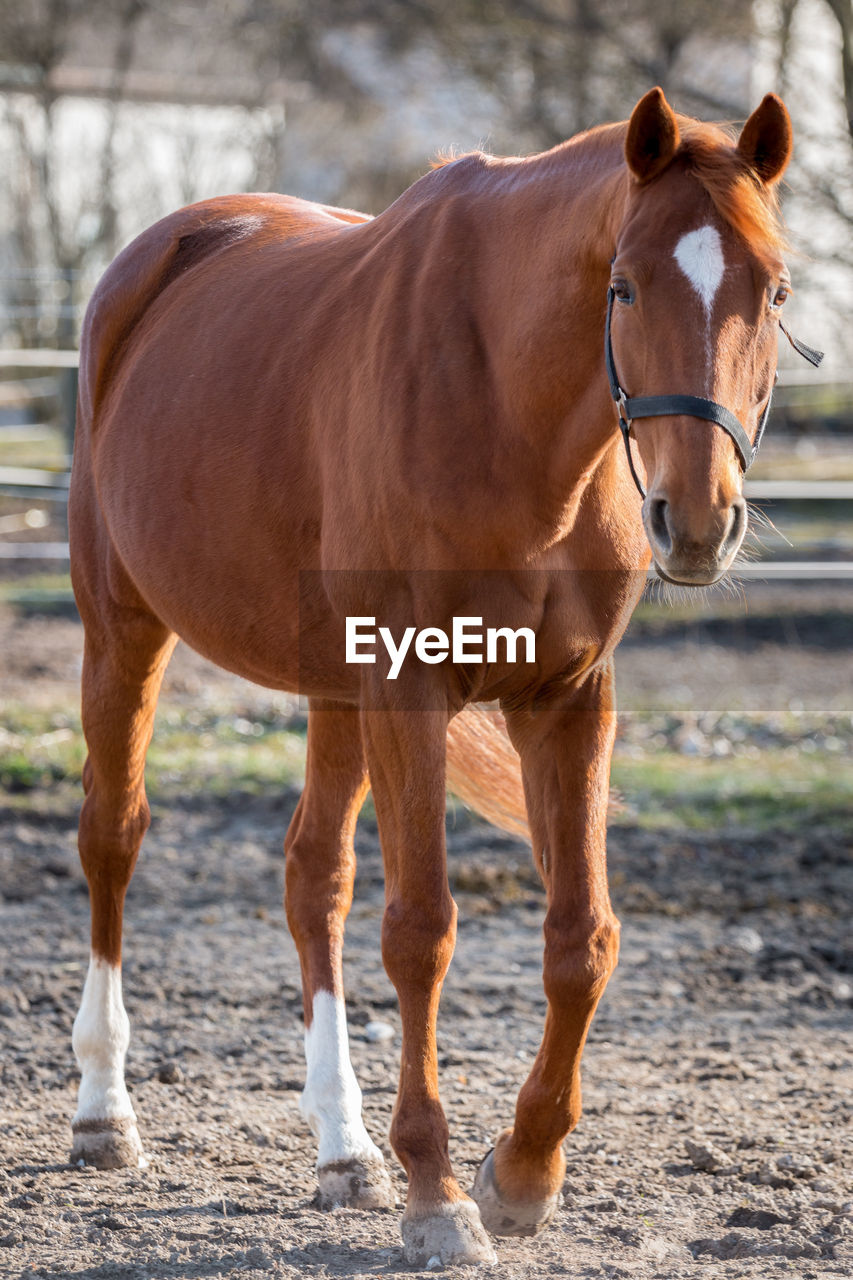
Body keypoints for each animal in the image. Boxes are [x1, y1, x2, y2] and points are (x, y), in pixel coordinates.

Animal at [66, 87, 799, 1259]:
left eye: (771, 288)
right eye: (624, 284)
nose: (695, 521)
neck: (512, 411)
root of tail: (157, 255)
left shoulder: (567, 699)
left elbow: (582, 937)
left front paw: (525, 1168)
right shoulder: (410, 689)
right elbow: (420, 933)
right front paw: (439, 1194)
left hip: (334, 682)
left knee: (312, 878)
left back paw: (343, 1150)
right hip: (123, 628)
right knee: (113, 838)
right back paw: (103, 1114)